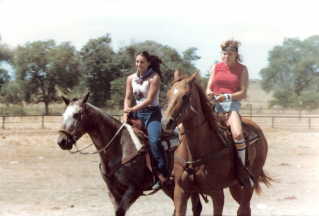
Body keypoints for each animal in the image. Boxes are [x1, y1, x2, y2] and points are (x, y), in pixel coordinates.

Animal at [56, 93, 204, 216]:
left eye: (76, 114)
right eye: (63, 115)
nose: (61, 141)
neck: (119, 146)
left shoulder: (135, 189)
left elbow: (120, 211)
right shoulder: (113, 191)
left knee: (195, 207)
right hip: (171, 185)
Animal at [164, 72, 272, 216]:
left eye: (185, 96)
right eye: (168, 94)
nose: (166, 122)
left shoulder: (217, 194)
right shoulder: (180, 192)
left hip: (250, 182)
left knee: (244, 208)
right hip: (235, 186)